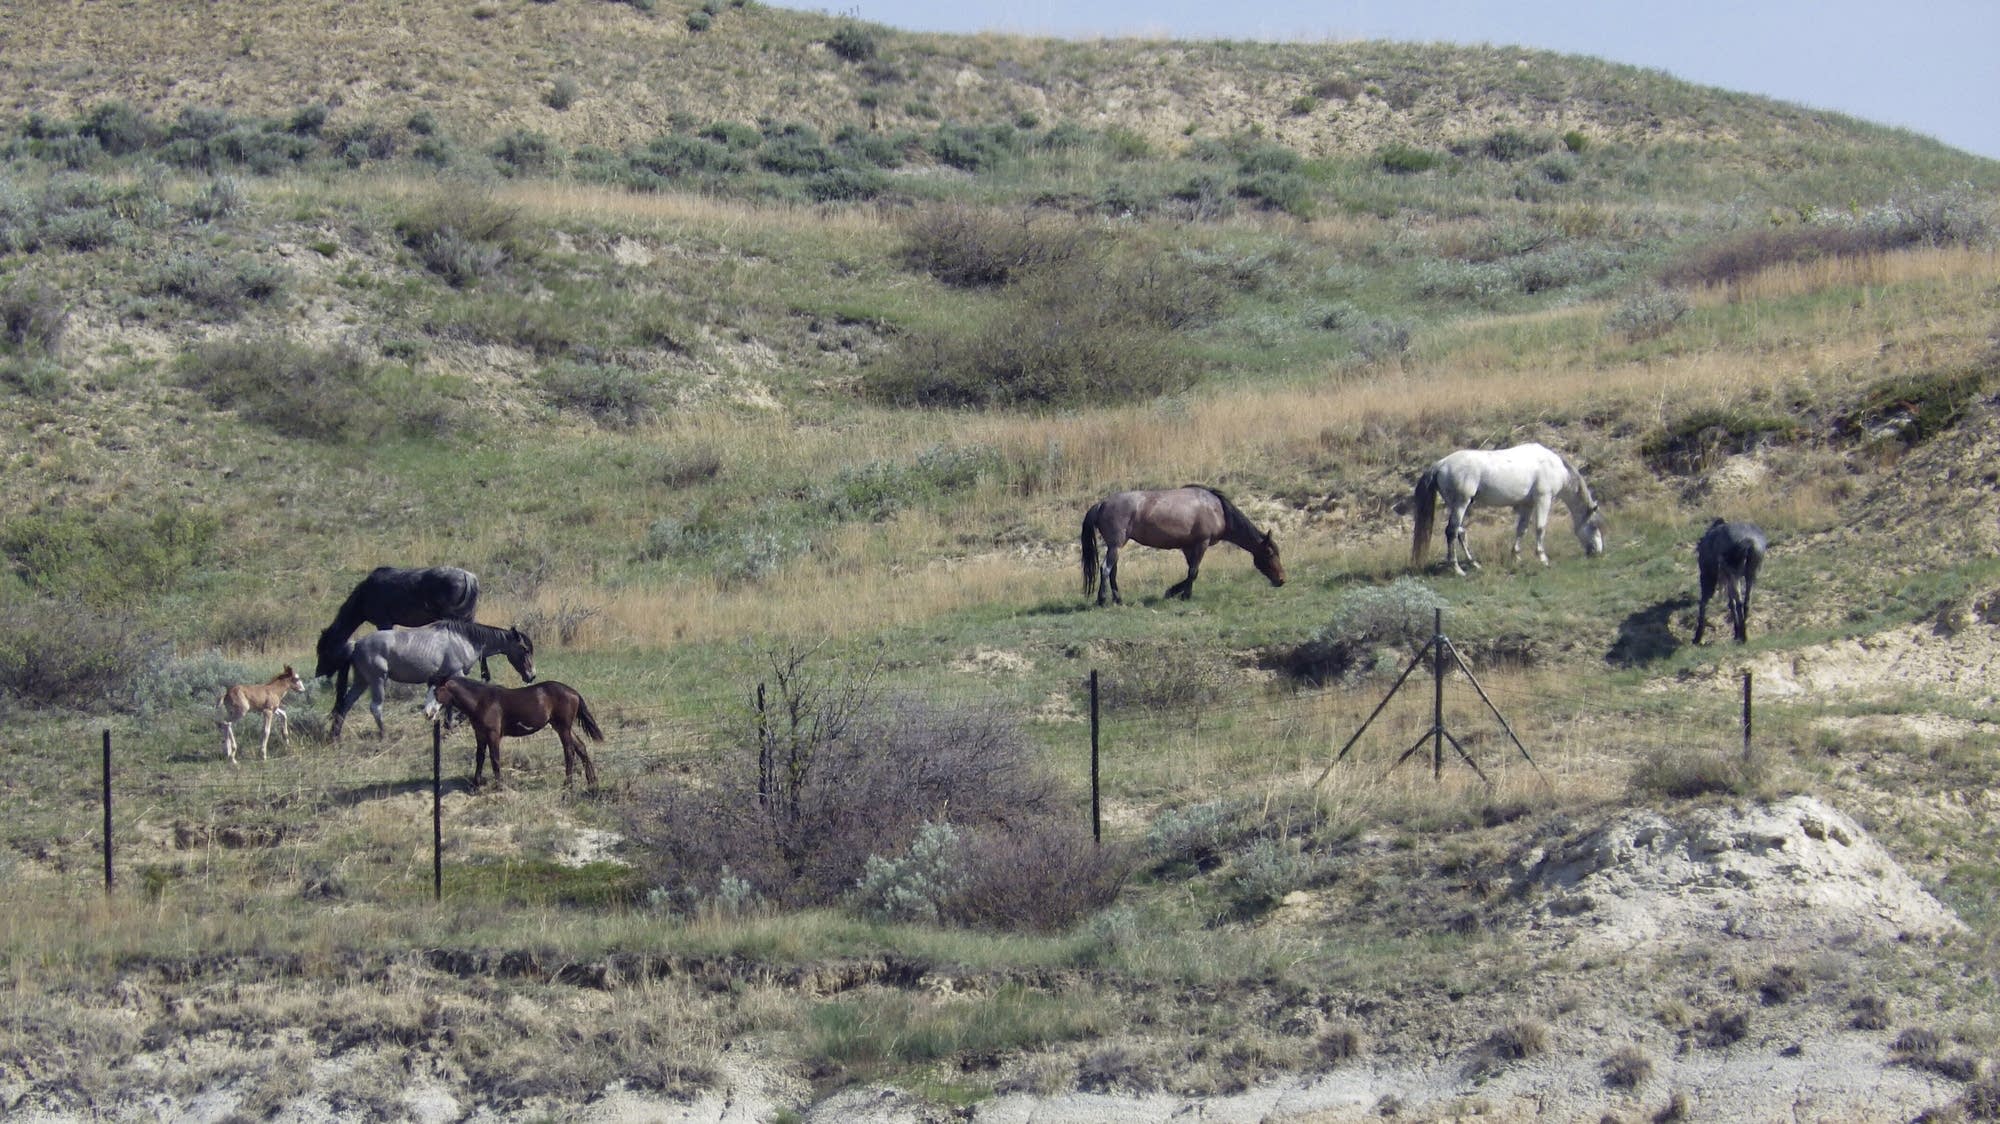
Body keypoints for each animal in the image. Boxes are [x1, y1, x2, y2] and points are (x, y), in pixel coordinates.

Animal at [314, 566, 482, 702]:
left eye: (324, 650)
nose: (318, 673)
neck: (363, 598)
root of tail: (469, 578)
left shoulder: (383, 620)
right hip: (469, 616)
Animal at [327, 620, 534, 739]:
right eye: (525, 649)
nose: (531, 675)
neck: (465, 639)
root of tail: (356, 644)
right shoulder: (457, 673)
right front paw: (455, 721)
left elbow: (449, 703)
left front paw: (449, 724)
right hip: (378, 680)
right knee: (375, 707)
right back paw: (384, 735)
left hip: (361, 682)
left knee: (344, 705)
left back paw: (335, 737)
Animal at [425, 675, 603, 789]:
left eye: (436, 691)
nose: (427, 713)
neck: (481, 701)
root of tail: (574, 692)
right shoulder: (480, 734)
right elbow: (480, 758)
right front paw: (475, 786)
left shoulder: (493, 735)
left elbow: (494, 759)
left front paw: (499, 786)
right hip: (561, 727)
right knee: (581, 747)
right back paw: (592, 781)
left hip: (564, 728)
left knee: (569, 752)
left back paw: (568, 785)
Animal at [1081, 486, 1284, 606]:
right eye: (1270, 553)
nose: (1282, 579)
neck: (1217, 509)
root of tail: (1101, 504)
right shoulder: (1201, 544)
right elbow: (1193, 572)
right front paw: (1181, 594)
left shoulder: (1188, 546)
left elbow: (1191, 572)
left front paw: (1176, 591)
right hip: (1115, 546)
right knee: (1105, 569)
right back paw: (1102, 599)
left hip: (1115, 547)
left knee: (1112, 572)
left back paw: (1118, 599)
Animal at [1411, 442, 1605, 575]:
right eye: (1595, 526)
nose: (1597, 552)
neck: (1554, 467)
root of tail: (1440, 464)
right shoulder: (1543, 499)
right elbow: (1540, 528)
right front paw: (1542, 558)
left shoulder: (1527, 505)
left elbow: (1522, 530)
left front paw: (1516, 557)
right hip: (1461, 504)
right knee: (1451, 531)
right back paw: (1457, 568)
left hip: (1457, 505)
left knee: (1460, 532)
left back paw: (1474, 563)